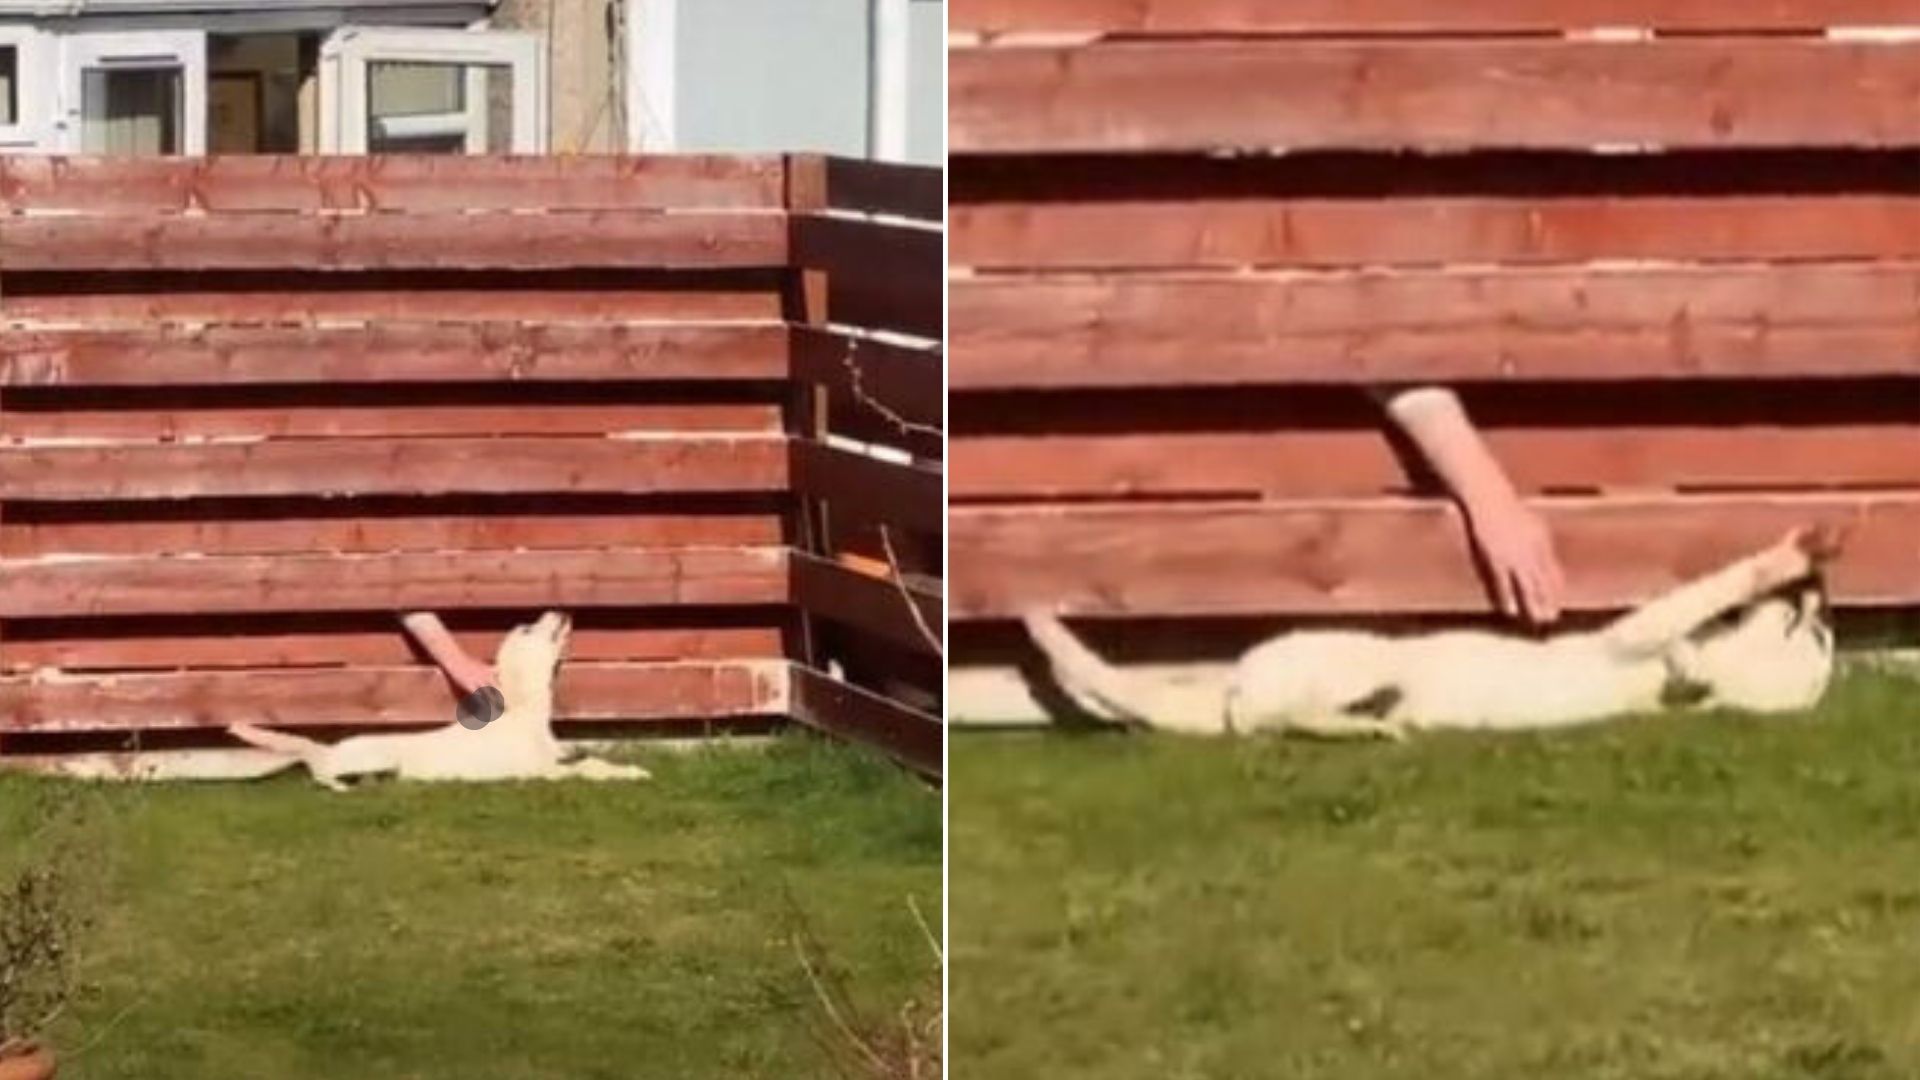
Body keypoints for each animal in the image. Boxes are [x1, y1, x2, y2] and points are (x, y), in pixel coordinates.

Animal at [1021, 522, 1843, 737]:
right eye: (1812, 631)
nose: (1824, 601)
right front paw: (1798, 554)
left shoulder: (1642, 637)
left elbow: (1707, 592)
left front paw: (1785, 559)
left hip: (1342, 674)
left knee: (1273, 722)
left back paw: (1368, 726)